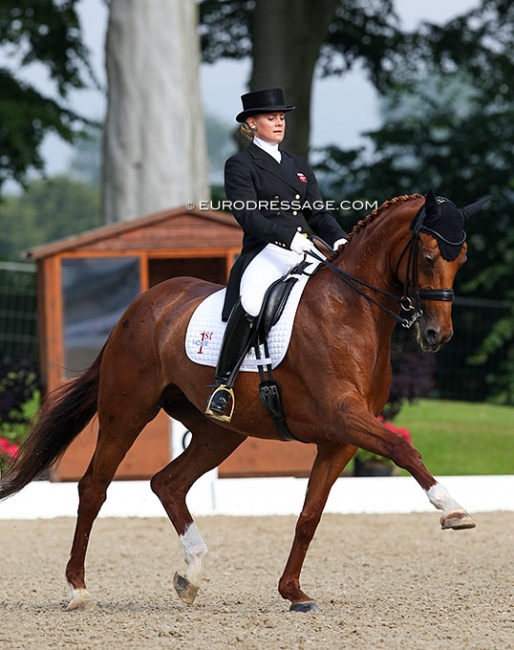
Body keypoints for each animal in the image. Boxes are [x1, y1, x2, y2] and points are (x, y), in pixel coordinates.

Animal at [0, 190, 486, 612]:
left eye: (461, 258)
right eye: (428, 257)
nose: (436, 335)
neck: (351, 310)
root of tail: (139, 306)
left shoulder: (340, 438)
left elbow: (309, 515)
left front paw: (293, 592)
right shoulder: (343, 416)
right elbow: (404, 448)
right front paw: (453, 510)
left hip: (219, 431)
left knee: (168, 483)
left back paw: (191, 574)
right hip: (128, 411)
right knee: (93, 488)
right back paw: (78, 590)